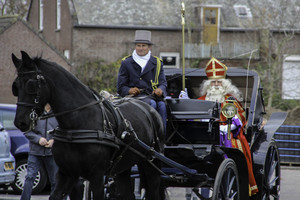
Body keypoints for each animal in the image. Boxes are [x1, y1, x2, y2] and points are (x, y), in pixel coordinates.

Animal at [11, 51, 164, 200]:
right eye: (16, 87)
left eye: (30, 84)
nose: (20, 122)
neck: (77, 125)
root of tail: (149, 108)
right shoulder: (67, 173)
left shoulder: (97, 175)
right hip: (123, 166)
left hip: (152, 164)